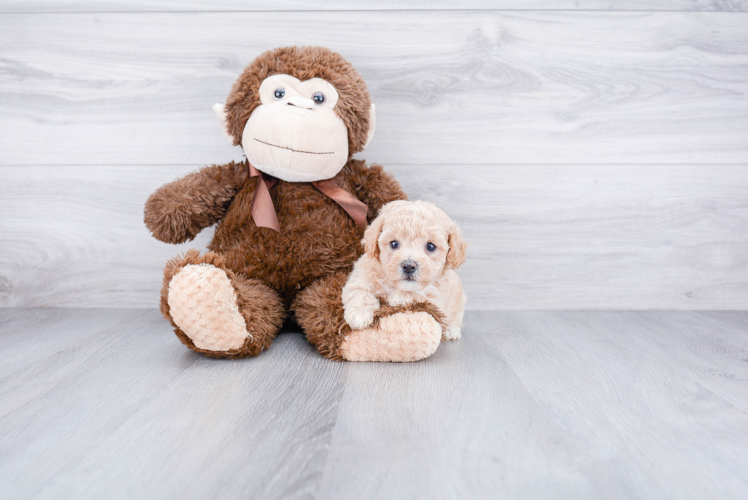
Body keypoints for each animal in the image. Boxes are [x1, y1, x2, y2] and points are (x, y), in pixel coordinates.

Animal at [344, 200, 468, 340]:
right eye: (394, 244)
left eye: (430, 246)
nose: (409, 266)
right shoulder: (360, 277)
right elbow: (359, 292)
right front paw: (359, 315)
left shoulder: (437, 296)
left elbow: (420, 294)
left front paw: (399, 298)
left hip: (459, 301)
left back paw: (452, 331)